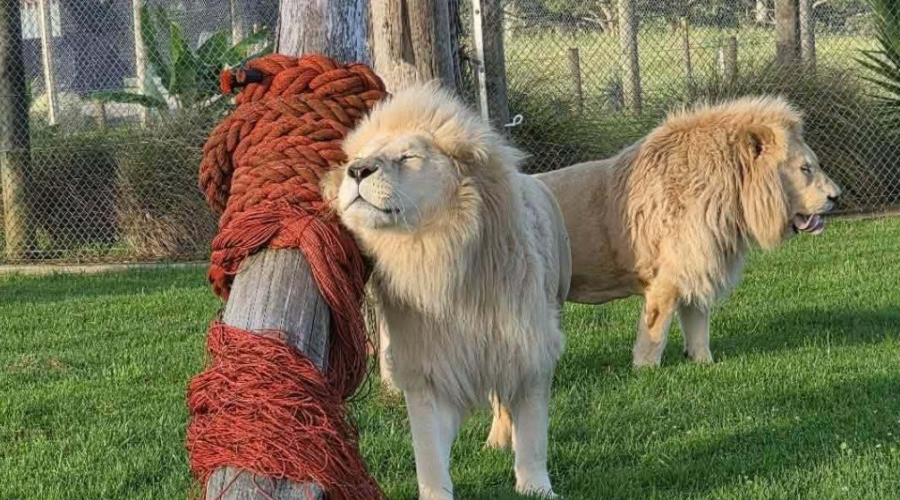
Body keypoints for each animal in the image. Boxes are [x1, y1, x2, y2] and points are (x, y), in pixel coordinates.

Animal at [322, 83, 571, 499]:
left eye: (408, 156)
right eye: (357, 159)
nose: (357, 171)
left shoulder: (530, 349)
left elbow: (534, 436)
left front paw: (536, 487)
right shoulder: (430, 369)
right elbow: (429, 453)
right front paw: (436, 492)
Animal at [535, 96, 841, 368]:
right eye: (805, 168)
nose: (837, 197)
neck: (728, 193)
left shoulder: (697, 269)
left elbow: (698, 327)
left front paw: (703, 363)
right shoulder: (667, 278)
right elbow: (654, 331)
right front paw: (645, 369)